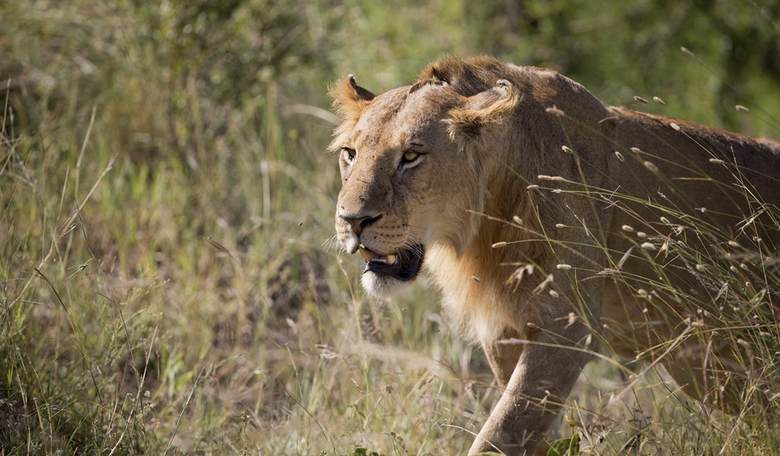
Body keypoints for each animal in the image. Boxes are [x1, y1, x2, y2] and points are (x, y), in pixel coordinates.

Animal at [330, 56, 780, 455]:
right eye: (350, 154)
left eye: (411, 156)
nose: (352, 220)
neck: (488, 222)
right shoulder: (504, 330)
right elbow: (525, 428)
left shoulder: (569, 326)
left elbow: (501, 431)